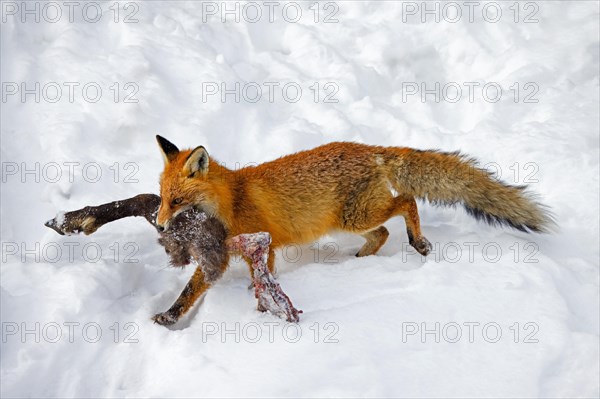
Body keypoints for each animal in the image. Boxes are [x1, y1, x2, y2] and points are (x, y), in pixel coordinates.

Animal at [154, 135, 552, 272]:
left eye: (177, 200)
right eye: (161, 197)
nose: (158, 224)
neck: (233, 198)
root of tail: (371, 149)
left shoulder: (264, 244)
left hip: (355, 216)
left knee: (406, 201)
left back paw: (419, 242)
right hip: (349, 221)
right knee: (382, 235)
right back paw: (358, 262)